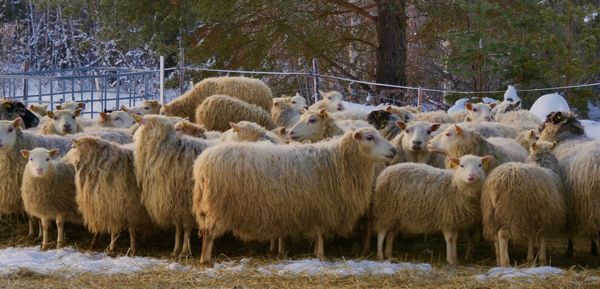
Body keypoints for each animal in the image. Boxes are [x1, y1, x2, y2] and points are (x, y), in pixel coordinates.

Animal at [135, 113, 214, 255]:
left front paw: (184, 251)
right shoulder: (174, 201)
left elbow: (186, 226)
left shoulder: (187, 201)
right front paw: (176, 250)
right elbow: (178, 227)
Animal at [193, 127, 398, 262]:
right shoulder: (320, 205)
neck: (336, 161)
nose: (394, 150)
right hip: (218, 206)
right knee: (208, 232)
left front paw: (315, 252)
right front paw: (320, 254)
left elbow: (316, 233)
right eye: (370, 137)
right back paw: (205, 259)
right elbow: (320, 232)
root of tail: (201, 164)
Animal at [536, 111, 600, 256]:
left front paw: (569, 250)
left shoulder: (570, 202)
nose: (538, 128)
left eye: (548, 119)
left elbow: (570, 229)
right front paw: (593, 248)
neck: (565, 137)